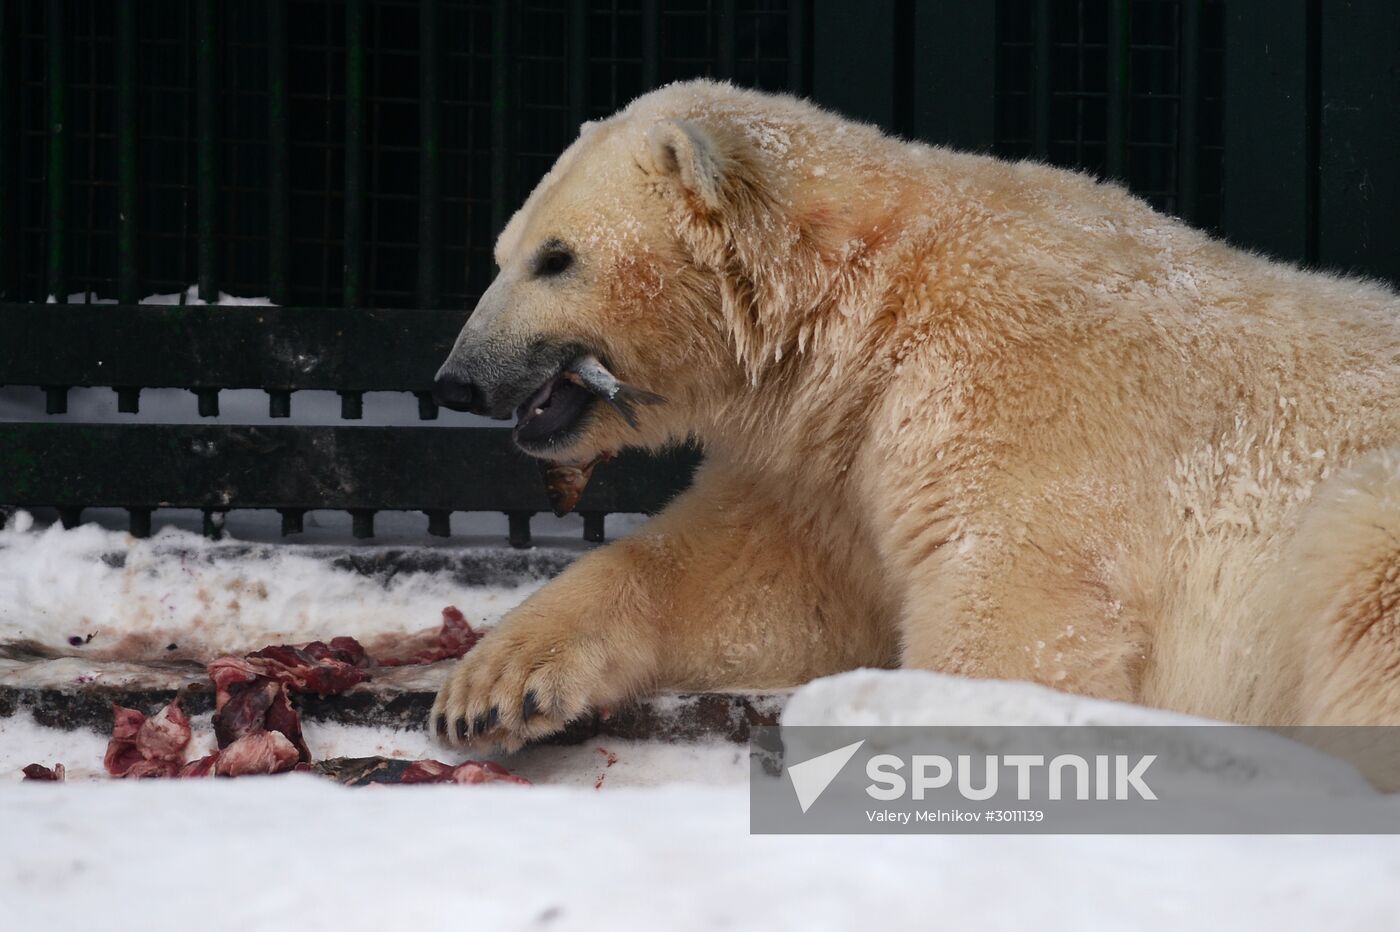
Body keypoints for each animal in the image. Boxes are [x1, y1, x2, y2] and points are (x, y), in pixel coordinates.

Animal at [425, 79, 1400, 750]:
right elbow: (746, 580)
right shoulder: (834, 463)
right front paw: (493, 686)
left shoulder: (1015, 399)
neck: (878, 301)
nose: (455, 381)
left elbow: (1016, 616)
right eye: (503, 250)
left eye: (557, 257)